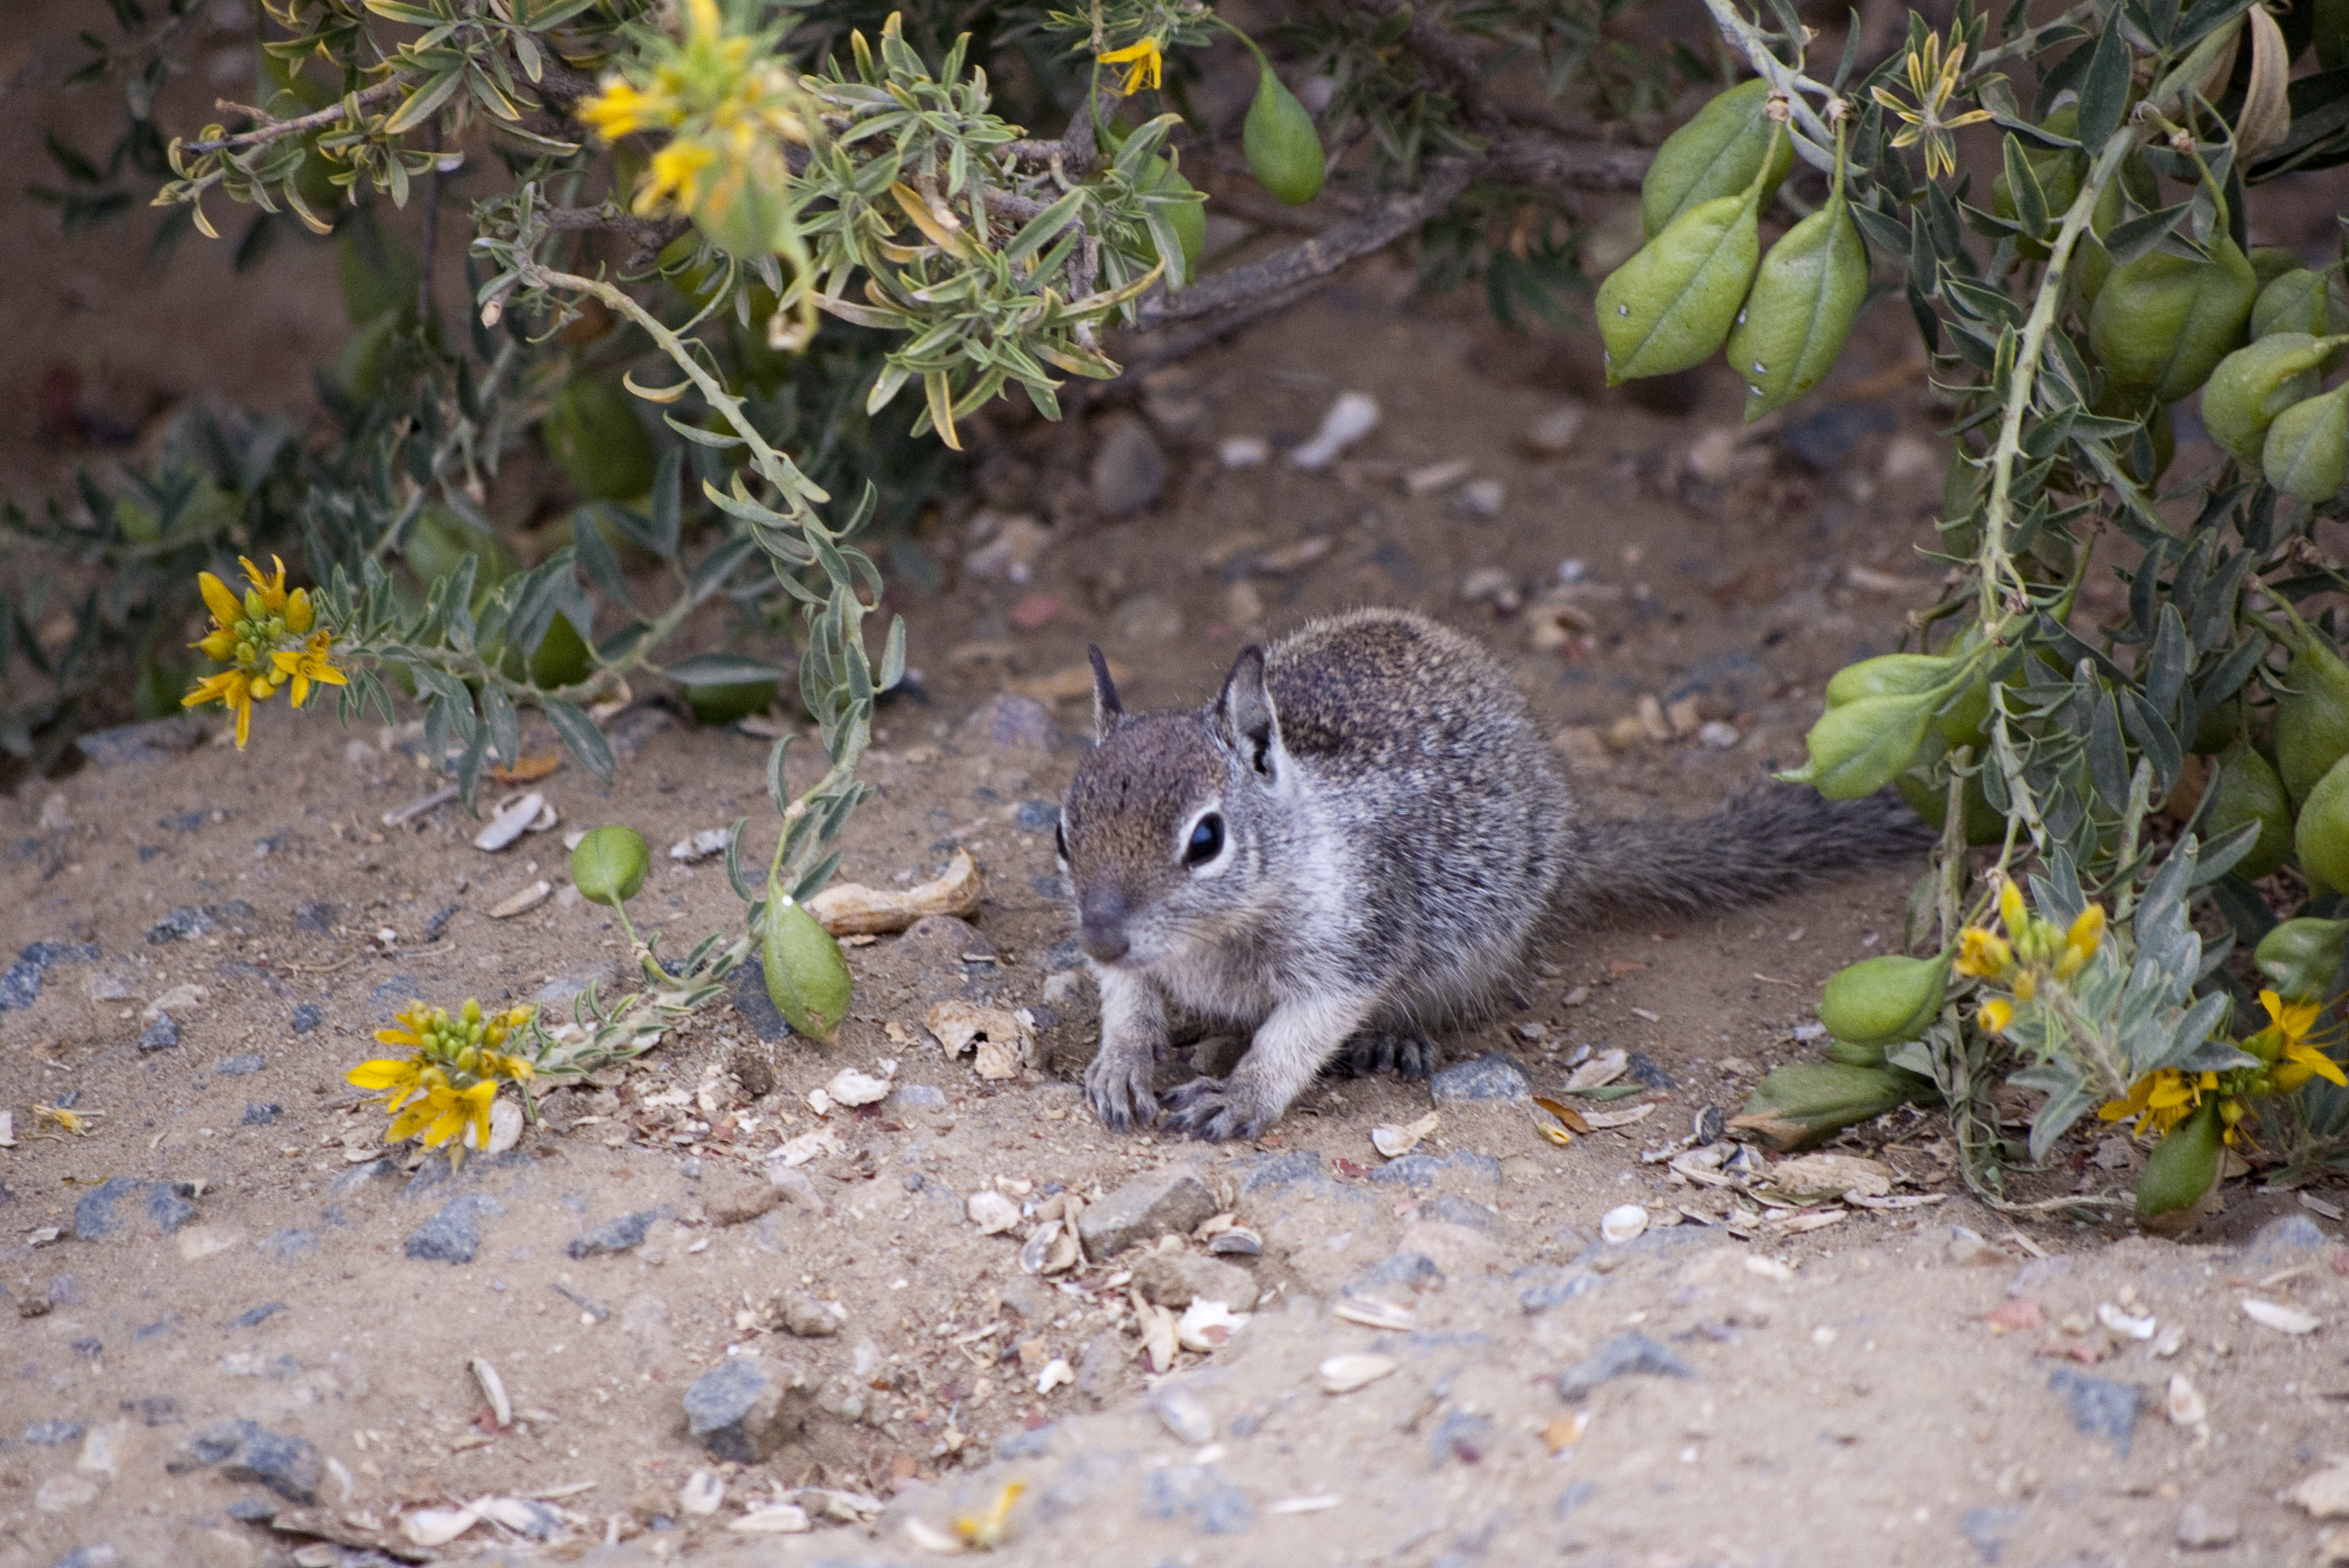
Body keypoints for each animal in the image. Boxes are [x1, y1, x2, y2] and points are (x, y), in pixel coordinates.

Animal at [1057, 605, 1935, 1140]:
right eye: (1064, 833)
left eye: (1206, 839)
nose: (1099, 937)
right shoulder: (1134, 961)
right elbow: (1129, 1002)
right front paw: (1120, 1064)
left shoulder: (1356, 941)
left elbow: (1296, 1034)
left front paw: (1241, 1094)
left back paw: (1396, 1036)